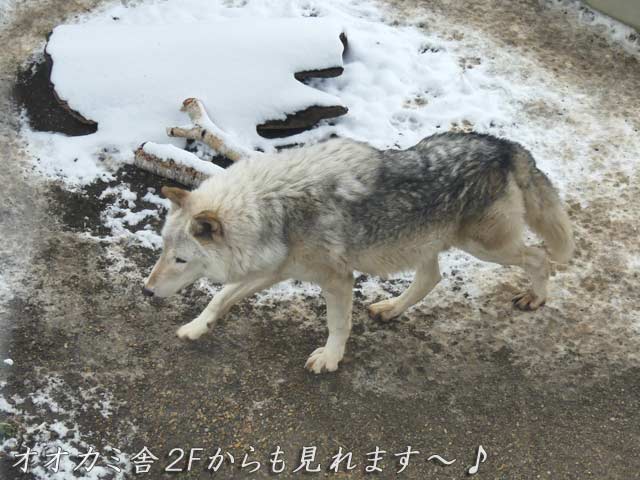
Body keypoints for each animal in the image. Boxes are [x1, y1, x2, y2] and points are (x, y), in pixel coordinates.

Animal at [145, 133, 576, 374]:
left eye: (180, 260)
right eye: (163, 249)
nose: (147, 292)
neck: (273, 207)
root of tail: (507, 147)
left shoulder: (336, 278)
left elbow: (338, 324)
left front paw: (330, 359)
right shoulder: (273, 271)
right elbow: (220, 297)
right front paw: (196, 327)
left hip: (486, 247)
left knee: (540, 256)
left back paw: (536, 298)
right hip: (423, 243)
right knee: (430, 278)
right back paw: (391, 309)